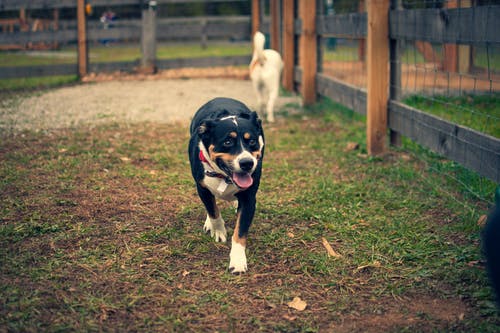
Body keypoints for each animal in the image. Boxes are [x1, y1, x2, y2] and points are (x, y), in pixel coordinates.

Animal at [188, 96, 266, 272]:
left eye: (252, 141)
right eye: (228, 142)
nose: (247, 163)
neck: (225, 176)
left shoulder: (249, 199)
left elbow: (240, 231)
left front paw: (237, 260)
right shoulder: (202, 188)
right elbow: (213, 211)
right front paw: (218, 230)